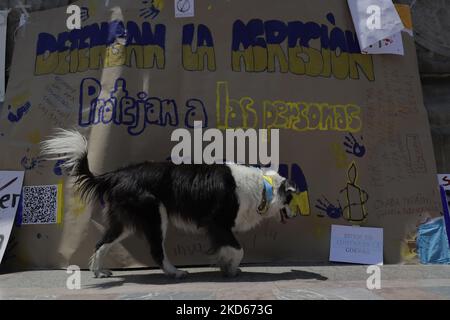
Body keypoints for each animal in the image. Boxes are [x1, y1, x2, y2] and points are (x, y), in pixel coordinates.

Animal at [40, 129, 298, 278]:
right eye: (291, 198)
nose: (296, 215)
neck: (262, 187)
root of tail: (117, 174)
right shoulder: (217, 223)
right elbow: (238, 248)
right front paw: (232, 269)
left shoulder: (218, 229)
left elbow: (228, 249)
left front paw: (226, 267)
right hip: (155, 215)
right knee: (156, 251)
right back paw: (174, 272)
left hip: (125, 222)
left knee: (101, 243)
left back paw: (99, 271)